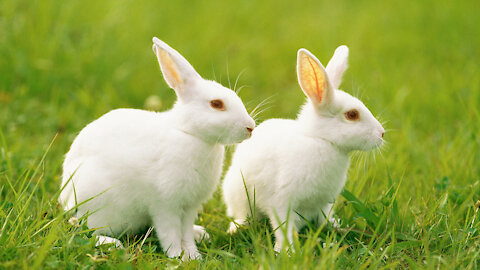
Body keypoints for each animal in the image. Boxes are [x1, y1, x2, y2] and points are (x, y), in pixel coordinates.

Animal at [59, 37, 255, 260]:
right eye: (216, 104)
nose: (250, 127)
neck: (189, 133)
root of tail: (65, 201)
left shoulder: (189, 207)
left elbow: (185, 233)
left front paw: (193, 255)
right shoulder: (164, 205)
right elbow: (170, 233)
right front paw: (178, 256)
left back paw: (200, 233)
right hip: (98, 207)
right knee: (86, 231)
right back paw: (112, 244)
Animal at [223, 46, 384, 251]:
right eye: (352, 115)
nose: (382, 133)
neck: (321, 140)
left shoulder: (323, 203)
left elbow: (324, 219)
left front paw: (337, 227)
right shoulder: (282, 202)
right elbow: (284, 229)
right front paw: (286, 251)